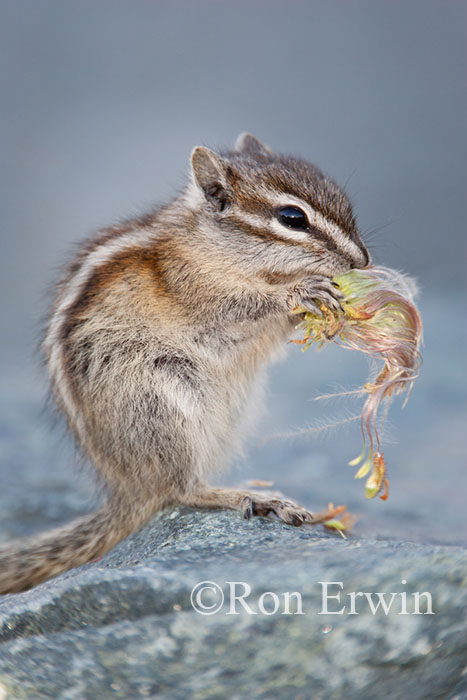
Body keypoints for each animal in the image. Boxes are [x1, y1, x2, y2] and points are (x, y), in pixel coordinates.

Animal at [0, 133, 369, 594]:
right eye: (292, 218)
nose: (363, 261)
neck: (210, 244)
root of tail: (127, 488)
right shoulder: (193, 287)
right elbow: (238, 309)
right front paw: (300, 293)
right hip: (161, 402)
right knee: (180, 490)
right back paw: (252, 497)